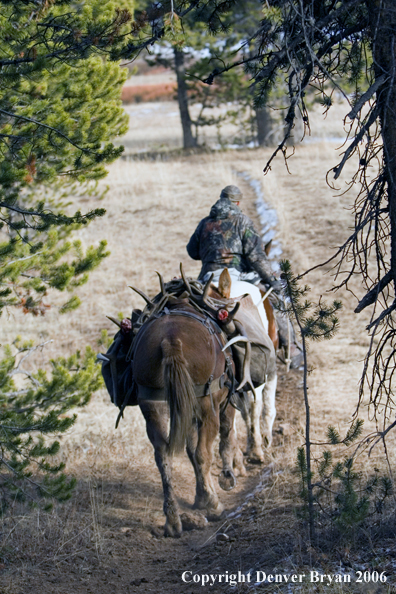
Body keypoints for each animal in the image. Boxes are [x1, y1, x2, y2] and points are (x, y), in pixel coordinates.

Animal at [133, 298, 243, 536]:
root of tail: (170, 340)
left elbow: (190, 450)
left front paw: (201, 496)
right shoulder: (223, 403)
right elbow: (224, 437)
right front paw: (225, 479)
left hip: (154, 409)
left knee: (163, 457)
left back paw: (173, 520)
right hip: (207, 408)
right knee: (204, 452)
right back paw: (214, 506)